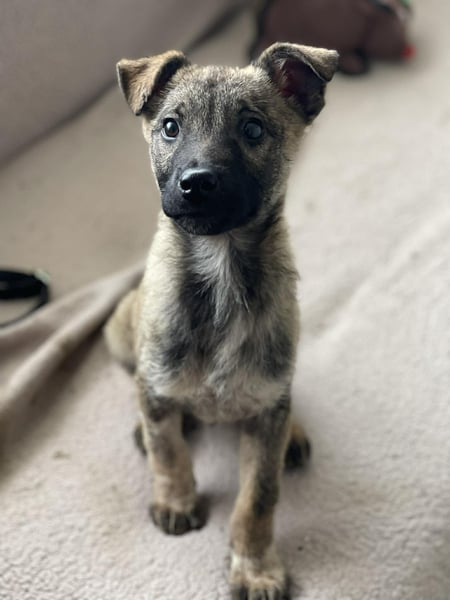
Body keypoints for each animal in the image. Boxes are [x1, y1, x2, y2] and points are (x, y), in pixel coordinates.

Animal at [105, 42, 338, 599]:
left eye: (252, 130)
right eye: (170, 127)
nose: (197, 184)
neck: (221, 270)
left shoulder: (266, 411)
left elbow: (257, 499)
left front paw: (254, 567)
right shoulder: (157, 384)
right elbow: (169, 451)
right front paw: (176, 501)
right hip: (120, 330)